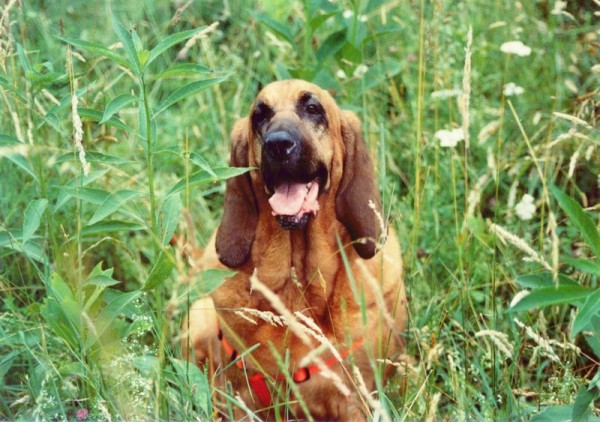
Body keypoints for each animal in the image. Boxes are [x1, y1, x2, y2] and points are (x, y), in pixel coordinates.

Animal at [184, 80, 408, 422]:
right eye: (260, 115)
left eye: (313, 108)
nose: (278, 144)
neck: (298, 286)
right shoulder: (241, 400)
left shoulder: (356, 401)